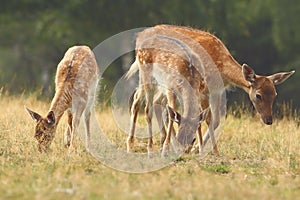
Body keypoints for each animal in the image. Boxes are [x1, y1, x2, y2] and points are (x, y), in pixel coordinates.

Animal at [125, 24, 294, 156]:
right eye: (258, 95)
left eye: (275, 94)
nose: (269, 120)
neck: (221, 68)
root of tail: (141, 34)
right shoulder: (205, 89)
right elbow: (206, 118)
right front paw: (200, 149)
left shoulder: (216, 90)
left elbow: (214, 119)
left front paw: (198, 148)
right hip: (148, 75)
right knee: (141, 101)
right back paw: (134, 145)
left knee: (157, 103)